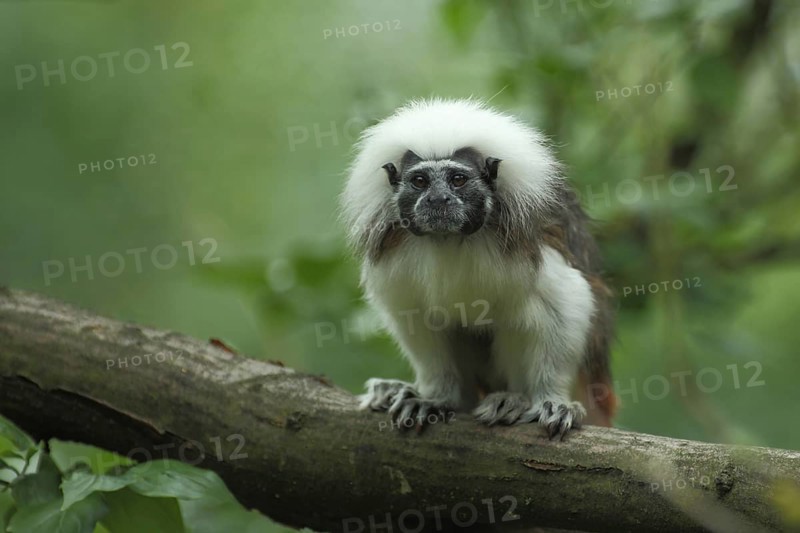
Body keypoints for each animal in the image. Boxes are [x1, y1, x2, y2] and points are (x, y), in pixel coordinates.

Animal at [340, 98, 616, 438]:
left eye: (457, 180)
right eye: (420, 182)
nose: (438, 199)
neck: (449, 239)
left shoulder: (529, 244)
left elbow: (565, 301)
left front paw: (552, 400)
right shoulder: (396, 254)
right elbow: (418, 319)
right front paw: (436, 397)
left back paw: (513, 400)